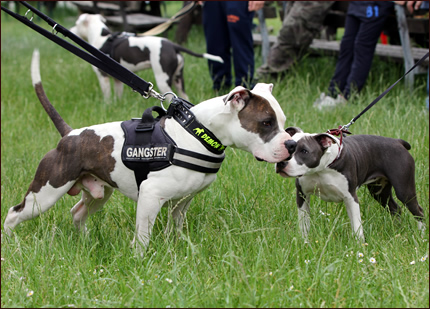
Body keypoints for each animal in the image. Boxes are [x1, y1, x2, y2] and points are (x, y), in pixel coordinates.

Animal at [0, 49, 296, 254]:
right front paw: (139, 259)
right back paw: (12, 245)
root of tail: (69, 135)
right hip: (46, 192)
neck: (197, 133)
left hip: (98, 193)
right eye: (266, 123)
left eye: (282, 122)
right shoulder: (151, 197)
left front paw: (178, 246)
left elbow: (175, 227)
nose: (291, 145)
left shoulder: (181, 201)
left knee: (77, 212)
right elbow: (143, 235)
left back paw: (84, 242)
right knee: (14, 213)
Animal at [69, 13, 225, 100]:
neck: (101, 37)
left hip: (163, 79)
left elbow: (106, 96)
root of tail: (172, 45)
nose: (71, 29)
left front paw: (107, 106)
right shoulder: (117, 80)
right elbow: (117, 95)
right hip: (178, 78)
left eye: (76, 24)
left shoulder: (103, 77)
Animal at [278, 126, 424, 242]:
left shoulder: (350, 198)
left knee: (418, 211)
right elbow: (304, 223)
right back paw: (397, 231)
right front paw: (304, 241)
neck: (321, 169)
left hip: (404, 190)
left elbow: (356, 225)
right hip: (379, 191)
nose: (281, 163)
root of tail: (397, 141)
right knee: (395, 209)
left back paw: (421, 237)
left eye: (304, 151)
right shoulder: (302, 195)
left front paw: (360, 245)